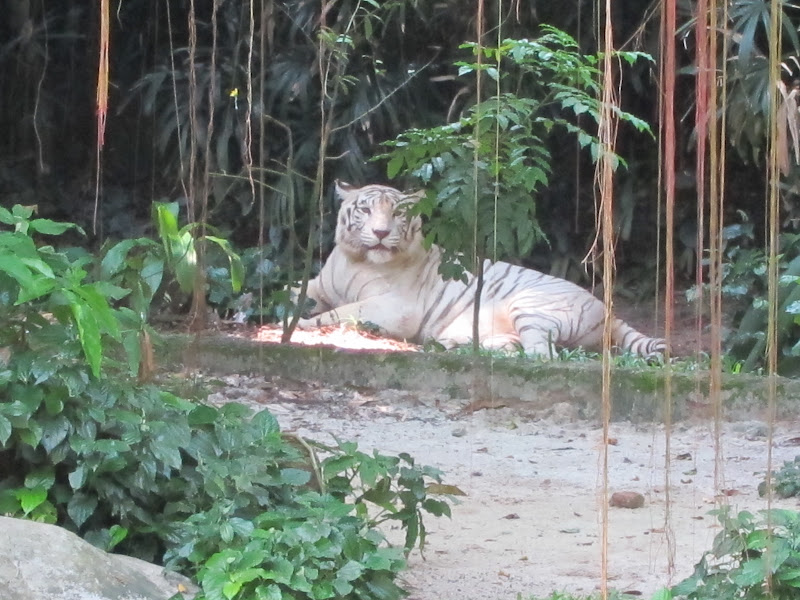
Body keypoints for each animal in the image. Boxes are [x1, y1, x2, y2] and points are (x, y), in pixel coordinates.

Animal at [296, 180, 664, 358]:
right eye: (366, 210)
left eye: (397, 213)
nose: (382, 233)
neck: (355, 259)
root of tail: (608, 309)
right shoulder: (318, 285)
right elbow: (300, 293)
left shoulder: (393, 308)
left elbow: (339, 313)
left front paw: (298, 324)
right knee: (516, 345)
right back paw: (450, 345)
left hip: (530, 306)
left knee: (542, 353)